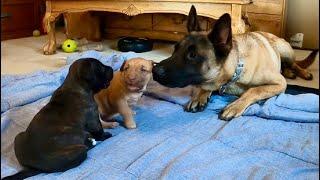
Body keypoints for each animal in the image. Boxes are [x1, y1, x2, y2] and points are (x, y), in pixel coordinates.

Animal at [153, 5, 318, 121]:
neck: (236, 70)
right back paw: (289, 72)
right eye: (175, 49)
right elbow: (204, 87)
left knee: (294, 63)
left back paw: (302, 72)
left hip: (285, 50)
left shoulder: (279, 83)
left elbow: (254, 90)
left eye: (192, 55)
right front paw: (199, 96)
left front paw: (236, 105)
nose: (154, 71)